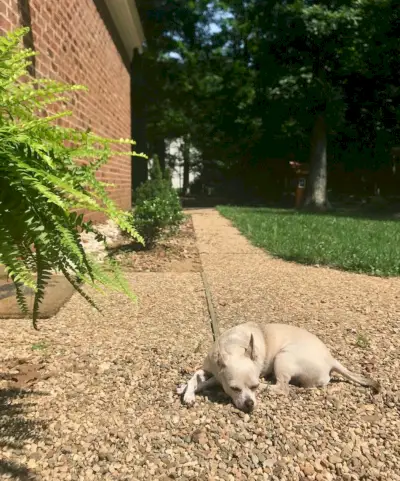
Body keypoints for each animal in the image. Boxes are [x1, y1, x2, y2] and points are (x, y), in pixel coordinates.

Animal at [177, 320, 380, 410]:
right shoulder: (211, 369)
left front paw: (192, 391)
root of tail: (331, 359)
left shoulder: (219, 378)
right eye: (234, 388)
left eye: (254, 386)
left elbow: (205, 381)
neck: (234, 346)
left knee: (282, 387)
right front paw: (187, 392)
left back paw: (268, 385)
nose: (250, 404)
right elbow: (195, 376)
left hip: (283, 357)